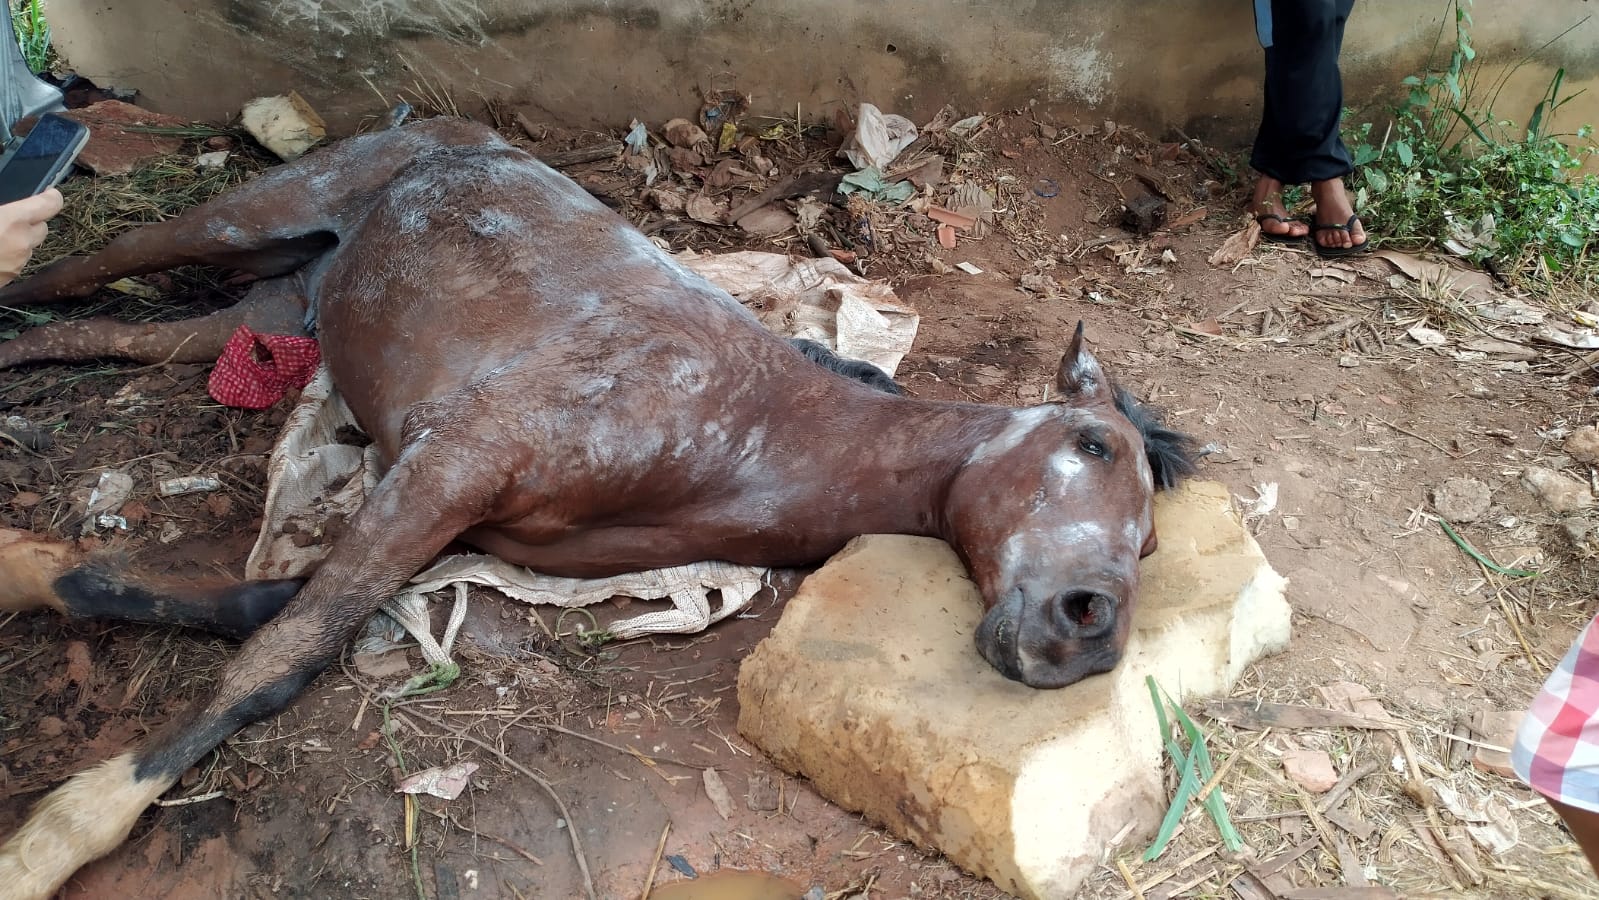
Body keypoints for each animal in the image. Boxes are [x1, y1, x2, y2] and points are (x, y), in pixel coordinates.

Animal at [0, 115, 1196, 895]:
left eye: (1147, 542)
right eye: (1089, 443)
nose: (1087, 628)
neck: (743, 425)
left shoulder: (453, 512)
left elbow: (285, 619)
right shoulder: (446, 466)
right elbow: (280, 654)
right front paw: (56, 836)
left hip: (271, 306)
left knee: (84, 332)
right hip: (237, 220)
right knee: (64, 276)